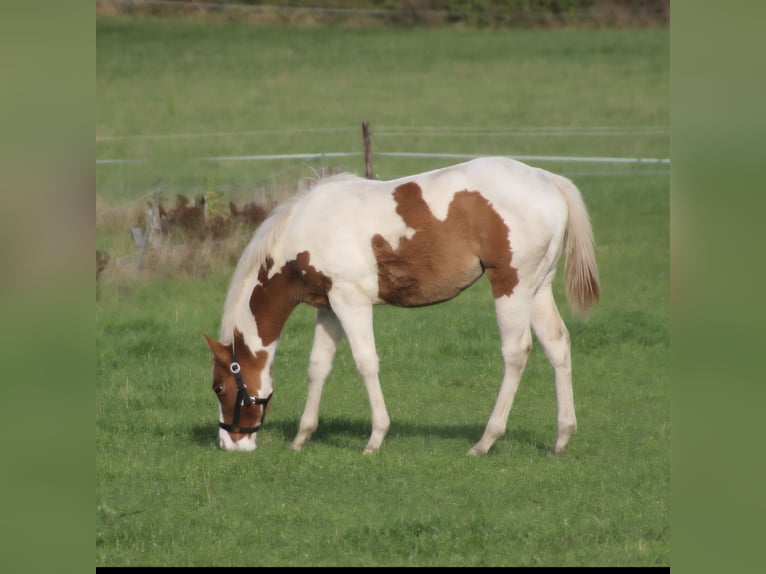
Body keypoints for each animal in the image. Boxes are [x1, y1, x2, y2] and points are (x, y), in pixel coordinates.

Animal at [203, 156, 600, 454]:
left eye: (219, 388)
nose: (229, 443)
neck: (306, 229)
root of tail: (549, 180)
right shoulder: (328, 307)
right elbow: (318, 366)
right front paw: (302, 437)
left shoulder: (351, 302)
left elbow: (365, 363)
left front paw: (375, 438)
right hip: (538, 289)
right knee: (557, 345)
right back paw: (561, 438)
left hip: (511, 286)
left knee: (516, 353)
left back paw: (485, 441)